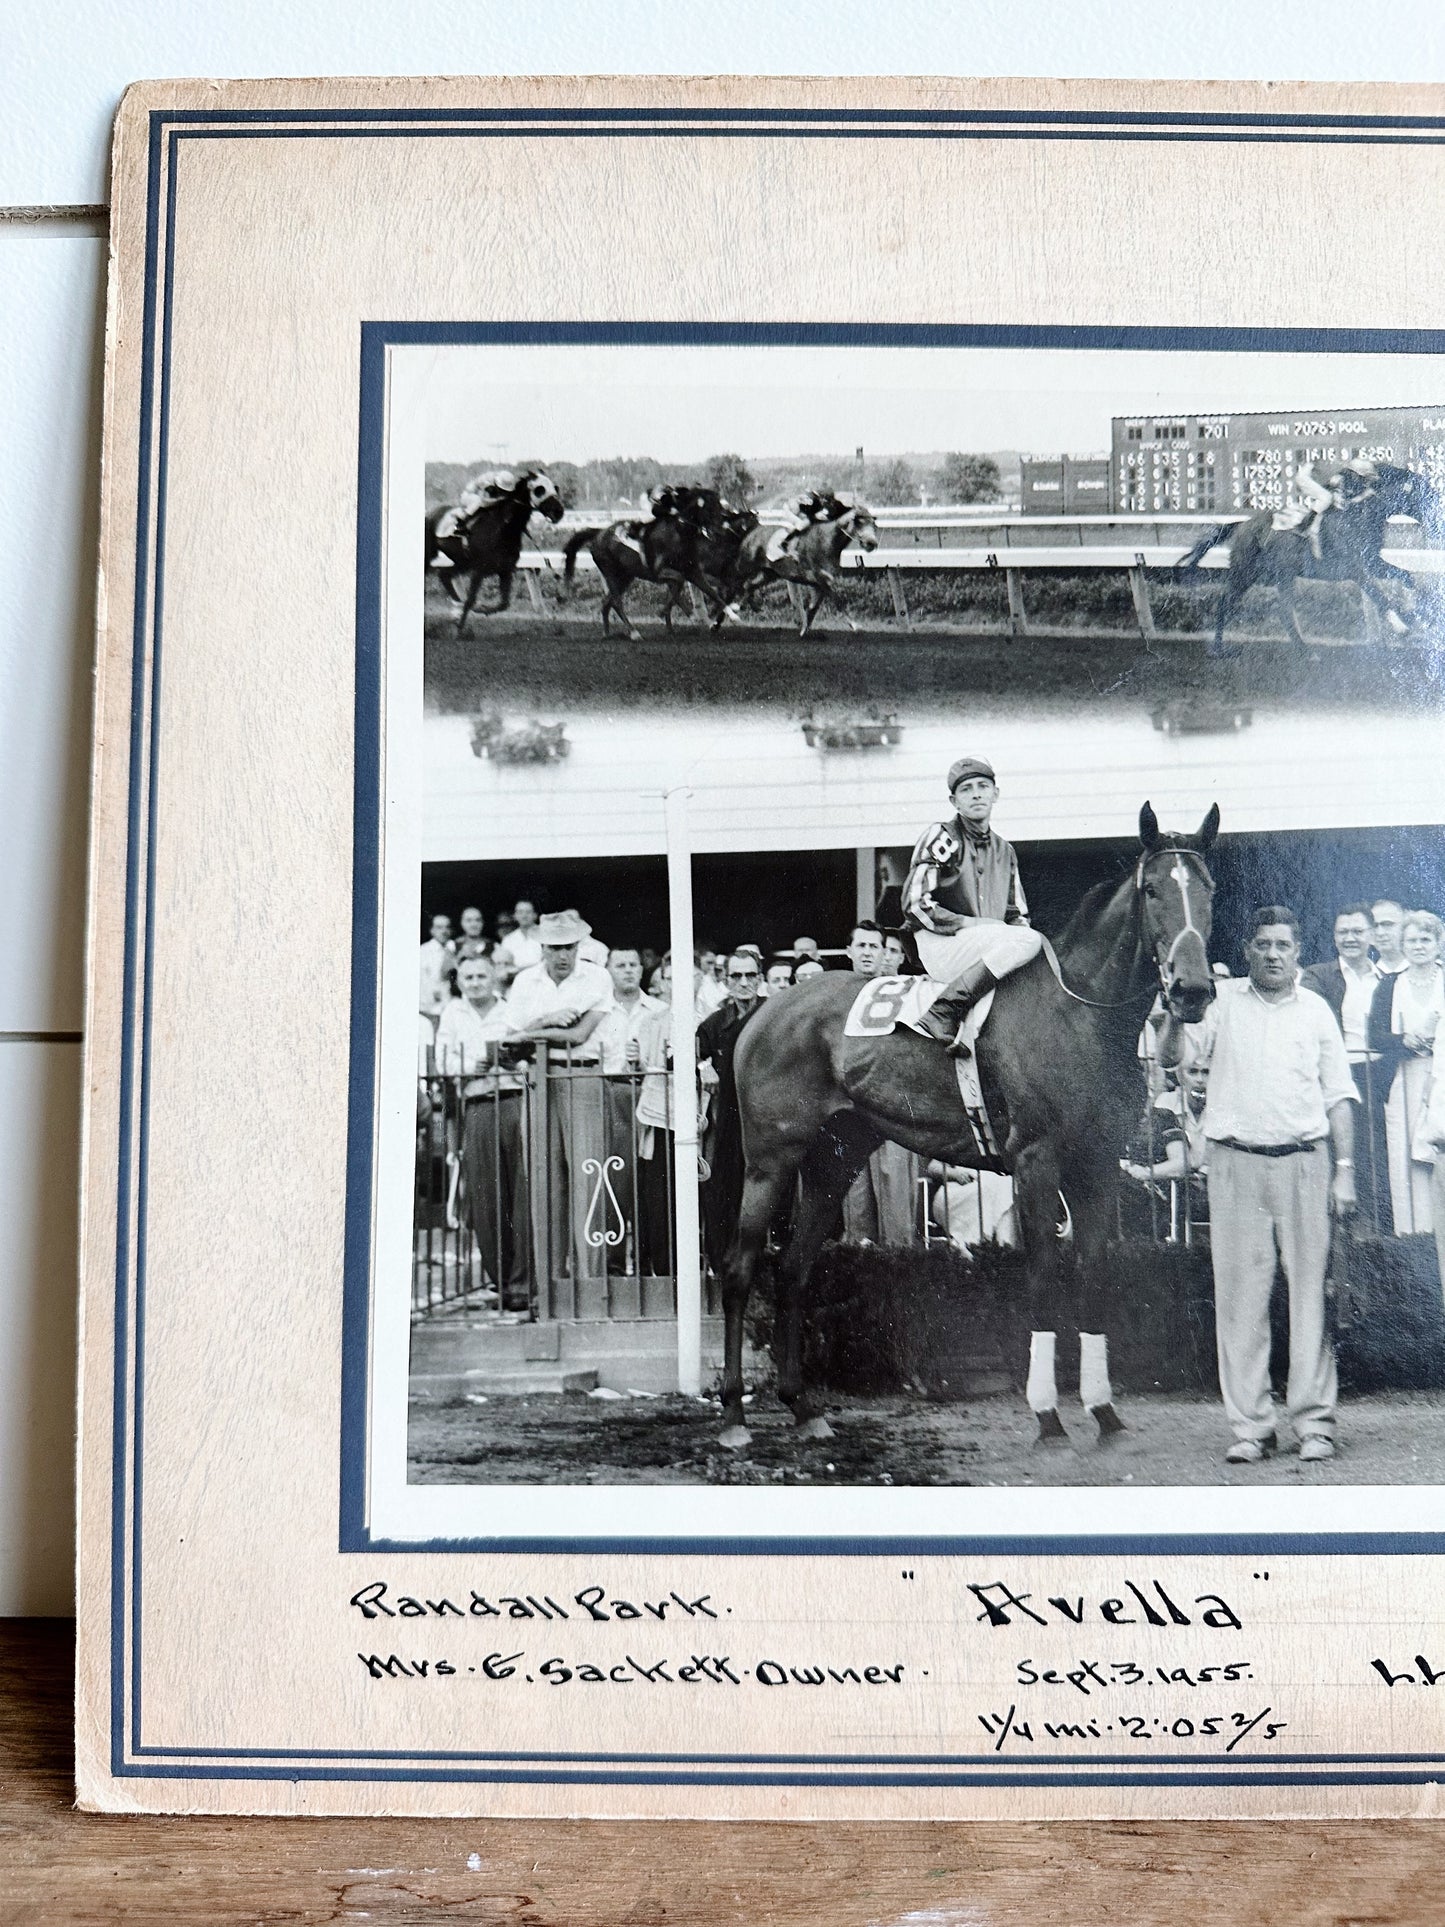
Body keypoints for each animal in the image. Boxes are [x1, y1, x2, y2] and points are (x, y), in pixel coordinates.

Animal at [423, 466, 566, 639]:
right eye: (540, 489)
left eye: (555, 488)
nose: (558, 511)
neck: (503, 527)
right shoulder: (479, 569)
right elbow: (471, 600)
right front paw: (459, 629)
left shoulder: (505, 570)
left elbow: (503, 603)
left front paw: (480, 610)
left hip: (460, 561)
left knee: (445, 575)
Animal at [724, 805, 1225, 1449]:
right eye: (1152, 889)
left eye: (1208, 890)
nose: (1192, 991)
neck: (1079, 1013)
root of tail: (763, 1010)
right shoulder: (1036, 1159)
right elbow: (1042, 1278)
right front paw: (1047, 1416)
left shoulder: (1096, 1162)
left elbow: (1095, 1276)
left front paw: (1104, 1411)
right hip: (771, 1157)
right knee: (740, 1268)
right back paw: (733, 1415)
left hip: (836, 1156)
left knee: (792, 1269)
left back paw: (803, 1405)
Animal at [735, 501, 882, 635]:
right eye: (858, 522)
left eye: (873, 524)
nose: (871, 543)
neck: (826, 541)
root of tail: (753, 530)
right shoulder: (822, 579)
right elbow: (838, 601)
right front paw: (855, 625)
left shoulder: (820, 583)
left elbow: (813, 608)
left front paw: (805, 630)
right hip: (744, 567)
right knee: (736, 584)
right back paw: (733, 613)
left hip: (769, 574)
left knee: (748, 585)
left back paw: (749, 609)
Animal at [1179, 462, 1441, 659]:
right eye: (1424, 490)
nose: (1438, 518)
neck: (1359, 515)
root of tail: (1242, 524)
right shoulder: (1355, 568)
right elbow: (1379, 595)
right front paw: (1405, 626)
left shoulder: (1373, 562)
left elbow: (1405, 576)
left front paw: (1422, 611)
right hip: (1245, 571)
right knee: (1226, 602)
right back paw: (1219, 650)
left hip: (1283, 574)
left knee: (1283, 610)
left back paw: (1305, 650)